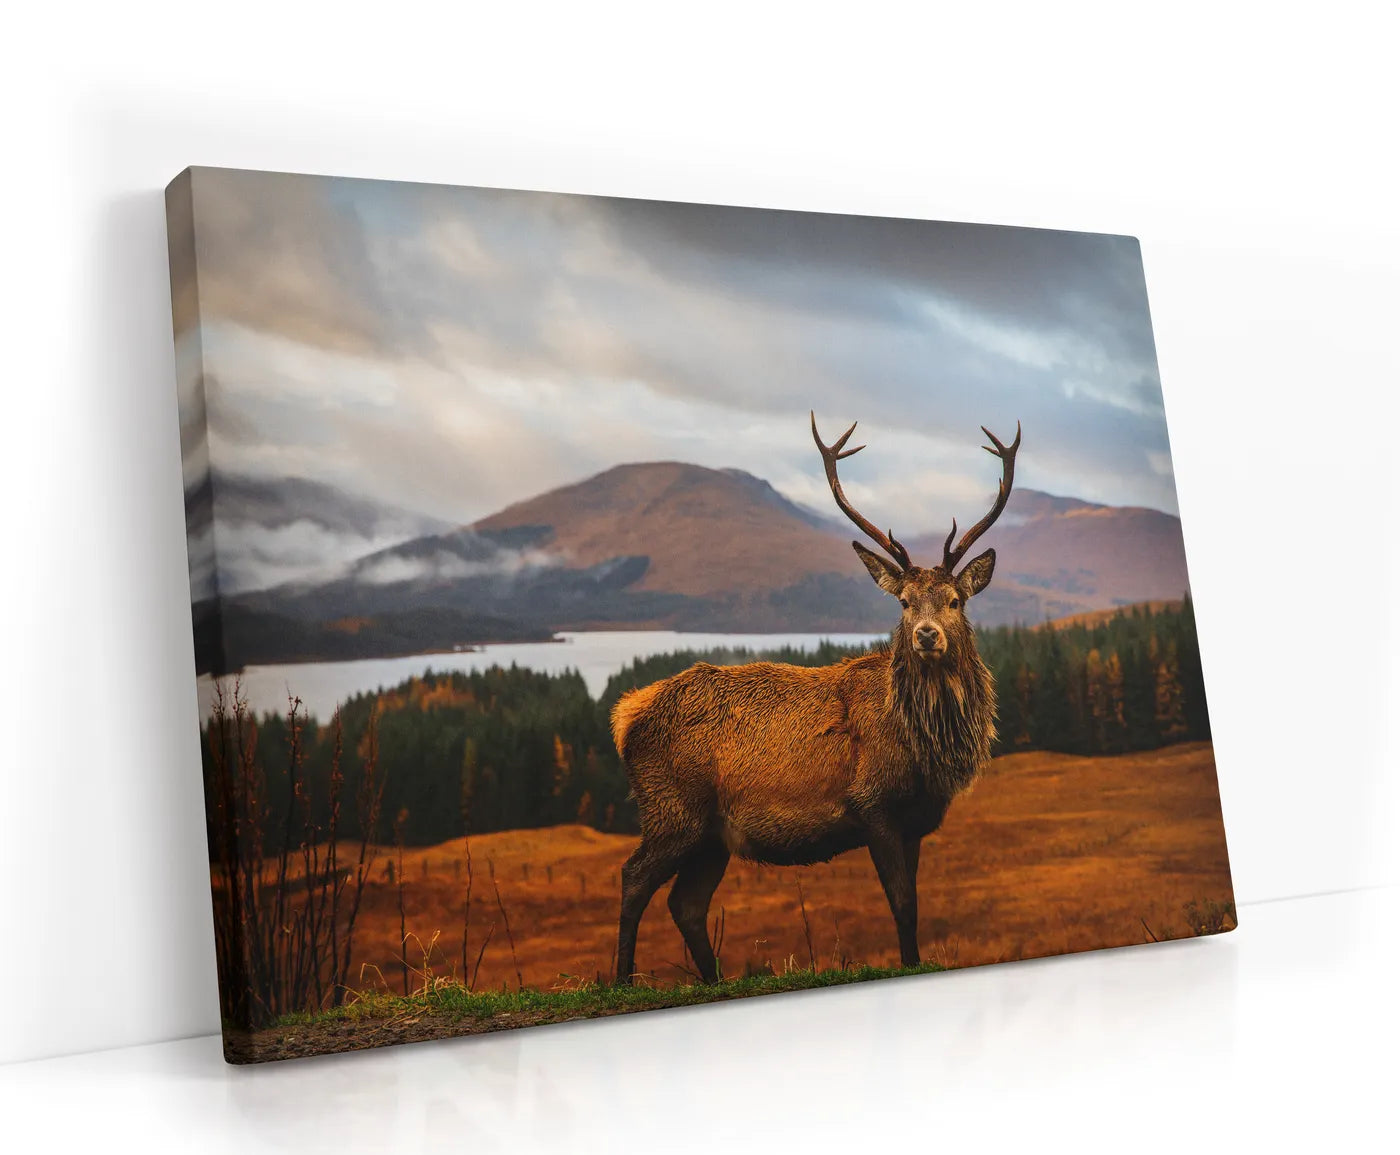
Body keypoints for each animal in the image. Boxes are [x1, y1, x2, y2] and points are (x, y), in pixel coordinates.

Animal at [610, 413, 1021, 985]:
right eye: (904, 602)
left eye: (956, 600)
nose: (926, 635)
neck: (926, 752)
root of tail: (624, 716)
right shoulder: (872, 804)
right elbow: (901, 904)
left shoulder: (915, 822)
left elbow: (914, 903)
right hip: (672, 808)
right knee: (633, 878)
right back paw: (622, 979)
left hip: (712, 835)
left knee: (685, 904)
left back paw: (714, 979)